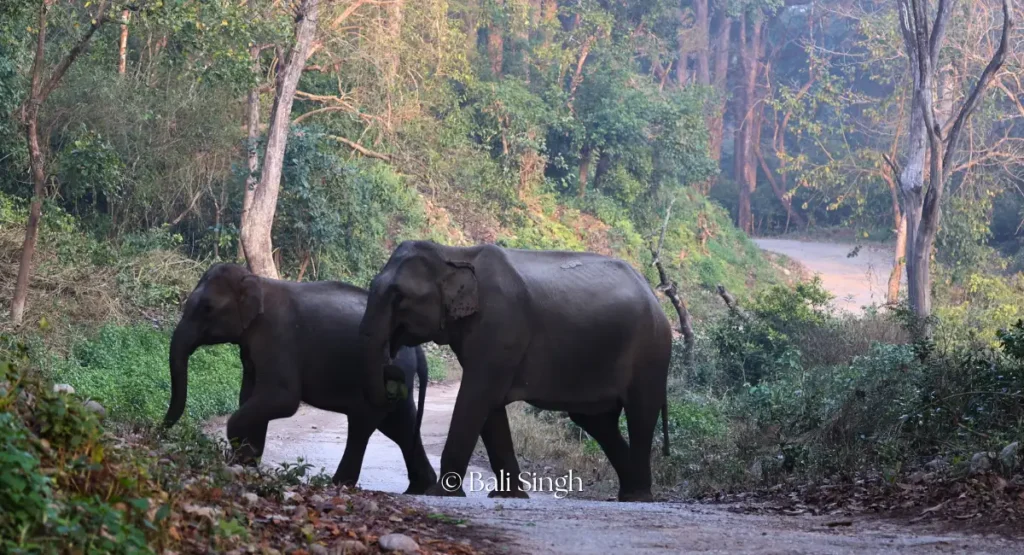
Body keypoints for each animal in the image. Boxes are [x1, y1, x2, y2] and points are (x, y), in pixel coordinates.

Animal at [162, 263, 437, 494]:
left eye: (207, 308)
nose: (161, 431)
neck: (256, 282)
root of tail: (418, 350)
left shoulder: (277, 335)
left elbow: (282, 398)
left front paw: (239, 455)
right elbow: (249, 395)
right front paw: (246, 463)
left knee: (363, 425)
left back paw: (337, 484)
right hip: (395, 381)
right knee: (400, 425)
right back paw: (421, 487)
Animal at [358, 240, 671, 502]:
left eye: (399, 296)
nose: (392, 375)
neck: (454, 253)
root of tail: (655, 296)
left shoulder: (500, 327)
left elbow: (476, 395)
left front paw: (440, 494)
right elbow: (489, 406)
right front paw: (508, 496)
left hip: (651, 352)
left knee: (640, 413)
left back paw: (638, 498)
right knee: (597, 422)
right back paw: (628, 494)